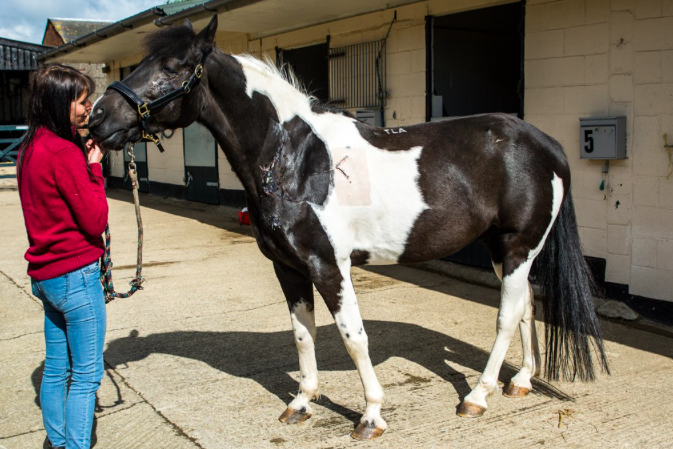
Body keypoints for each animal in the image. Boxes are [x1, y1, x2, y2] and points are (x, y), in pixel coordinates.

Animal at [89, 16, 608, 438]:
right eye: (140, 62)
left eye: (174, 66)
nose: (97, 118)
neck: (295, 159)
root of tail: (547, 144)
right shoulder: (288, 268)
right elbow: (303, 334)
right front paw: (301, 403)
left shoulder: (328, 264)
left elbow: (353, 337)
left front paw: (371, 415)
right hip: (503, 250)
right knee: (525, 306)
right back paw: (519, 382)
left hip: (519, 246)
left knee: (506, 315)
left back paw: (478, 396)